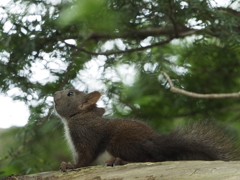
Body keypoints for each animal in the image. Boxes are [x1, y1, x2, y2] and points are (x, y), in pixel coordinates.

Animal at [53, 89, 240, 172]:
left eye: (70, 94)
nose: (54, 94)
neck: (78, 116)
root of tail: (154, 142)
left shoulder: (85, 135)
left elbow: (85, 157)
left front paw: (71, 165)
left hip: (122, 141)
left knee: (149, 159)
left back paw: (120, 161)